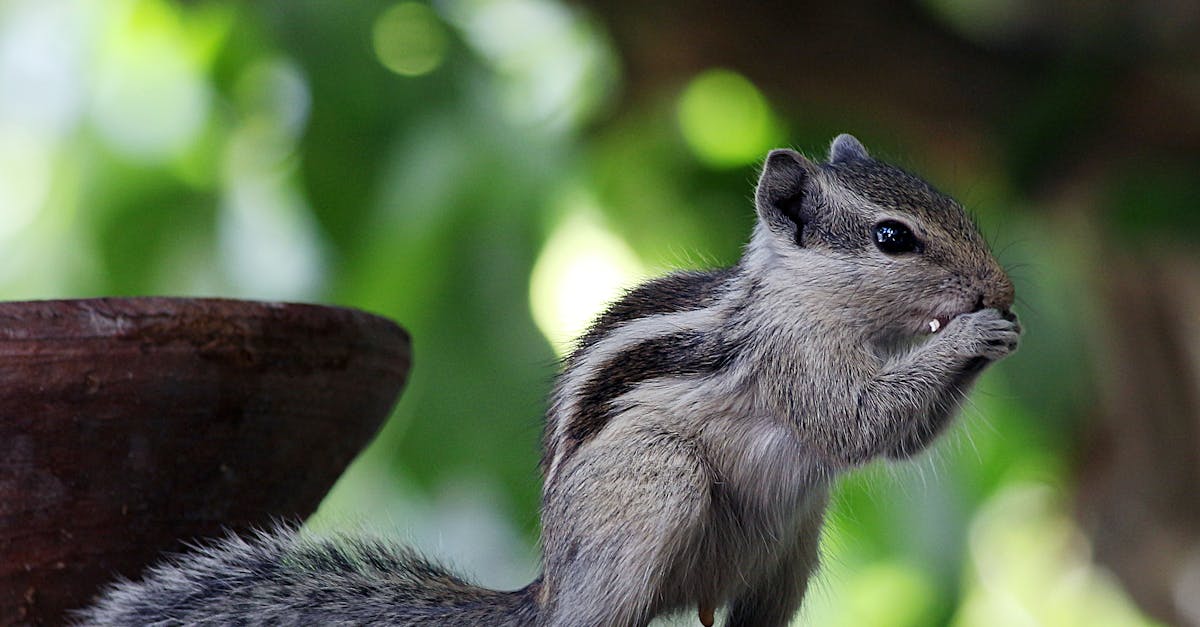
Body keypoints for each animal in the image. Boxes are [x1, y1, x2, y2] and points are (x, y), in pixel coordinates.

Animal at [77, 132, 1022, 624]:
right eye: (893, 237)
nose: (1001, 286)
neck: (800, 292)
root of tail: (547, 589)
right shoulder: (795, 358)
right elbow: (864, 420)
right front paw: (975, 335)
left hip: (788, 548)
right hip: (655, 487)